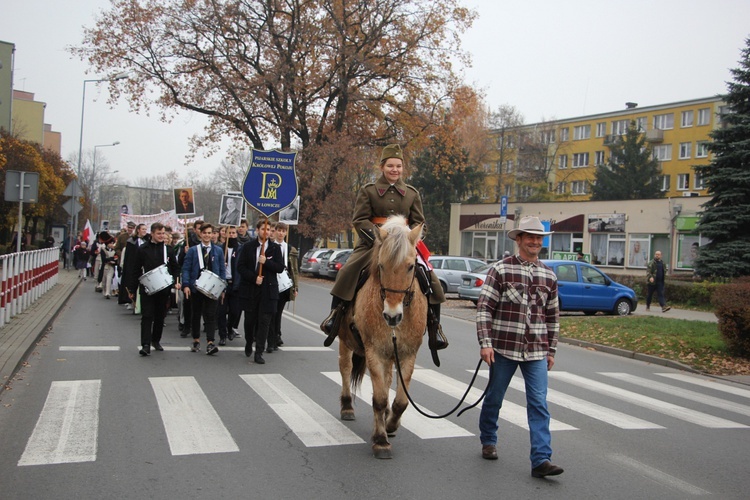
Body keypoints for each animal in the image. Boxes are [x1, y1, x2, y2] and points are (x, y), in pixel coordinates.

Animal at [336, 214, 428, 458]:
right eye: (380, 265)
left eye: (411, 266)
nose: (392, 316)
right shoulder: (374, 352)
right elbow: (378, 398)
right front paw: (380, 440)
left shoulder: (407, 354)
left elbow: (401, 401)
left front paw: (391, 425)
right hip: (345, 341)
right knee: (345, 369)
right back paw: (347, 406)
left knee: (386, 382)